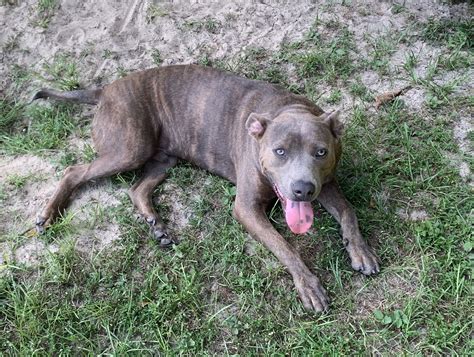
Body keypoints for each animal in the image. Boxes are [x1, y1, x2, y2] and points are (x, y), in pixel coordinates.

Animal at [33, 64, 380, 312]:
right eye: (279, 151)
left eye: (321, 152)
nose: (302, 189)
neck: (287, 109)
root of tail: (106, 88)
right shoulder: (246, 208)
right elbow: (284, 245)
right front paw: (308, 284)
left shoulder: (328, 182)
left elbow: (348, 211)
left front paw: (360, 250)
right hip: (129, 149)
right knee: (74, 171)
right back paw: (49, 214)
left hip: (163, 158)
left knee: (137, 188)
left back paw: (157, 226)